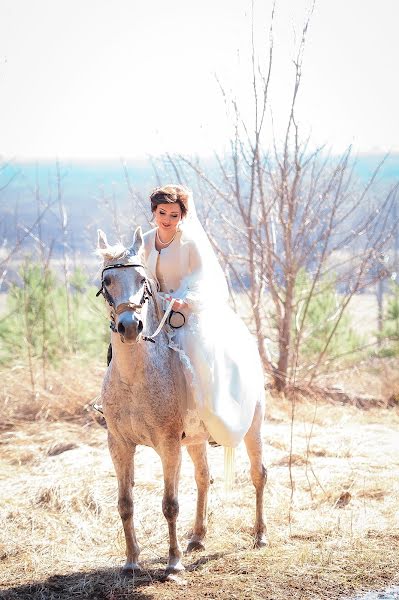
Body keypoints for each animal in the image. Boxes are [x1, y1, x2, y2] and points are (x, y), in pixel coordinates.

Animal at [96, 227, 268, 576]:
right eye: (108, 281)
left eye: (142, 280)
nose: (129, 327)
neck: (134, 378)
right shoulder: (119, 444)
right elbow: (125, 503)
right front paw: (131, 561)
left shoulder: (168, 444)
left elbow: (170, 504)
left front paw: (173, 564)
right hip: (197, 440)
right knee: (204, 478)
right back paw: (198, 538)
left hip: (252, 429)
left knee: (259, 475)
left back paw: (259, 536)